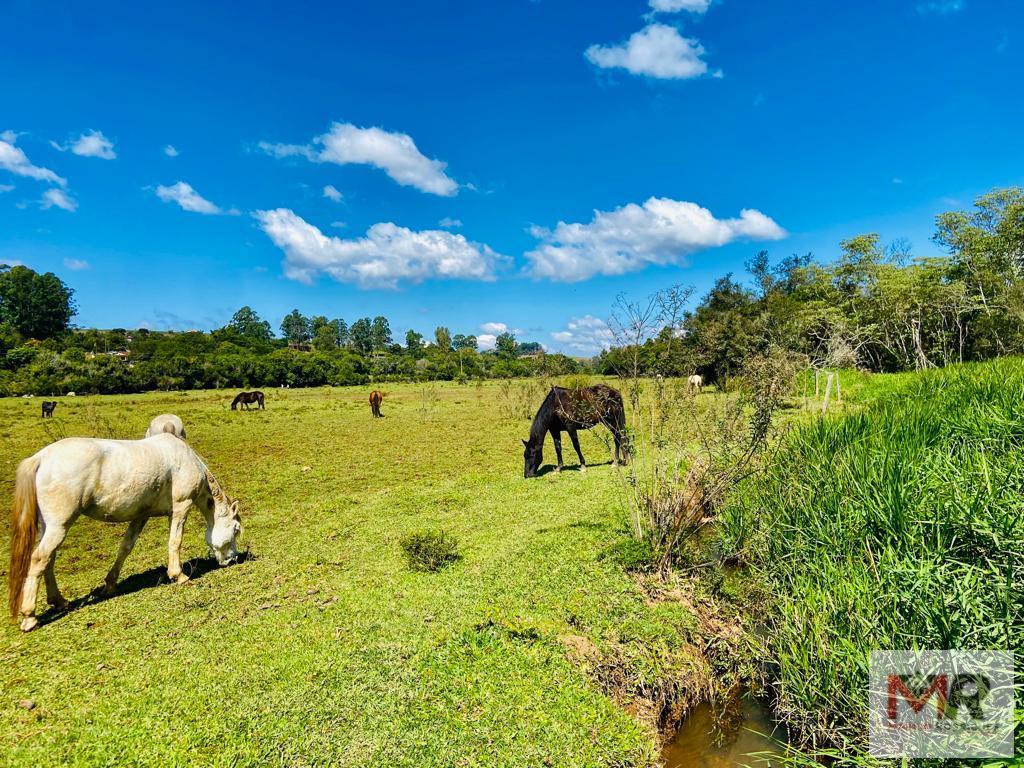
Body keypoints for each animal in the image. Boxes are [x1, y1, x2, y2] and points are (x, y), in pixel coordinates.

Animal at [7, 436, 241, 634]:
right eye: (236, 529)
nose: (232, 559)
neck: (185, 459)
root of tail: (40, 458)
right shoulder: (181, 507)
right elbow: (175, 542)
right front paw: (179, 576)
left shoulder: (141, 515)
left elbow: (126, 547)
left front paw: (110, 585)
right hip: (59, 525)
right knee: (40, 558)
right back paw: (30, 617)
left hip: (50, 527)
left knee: (49, 559)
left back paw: (59, 601)